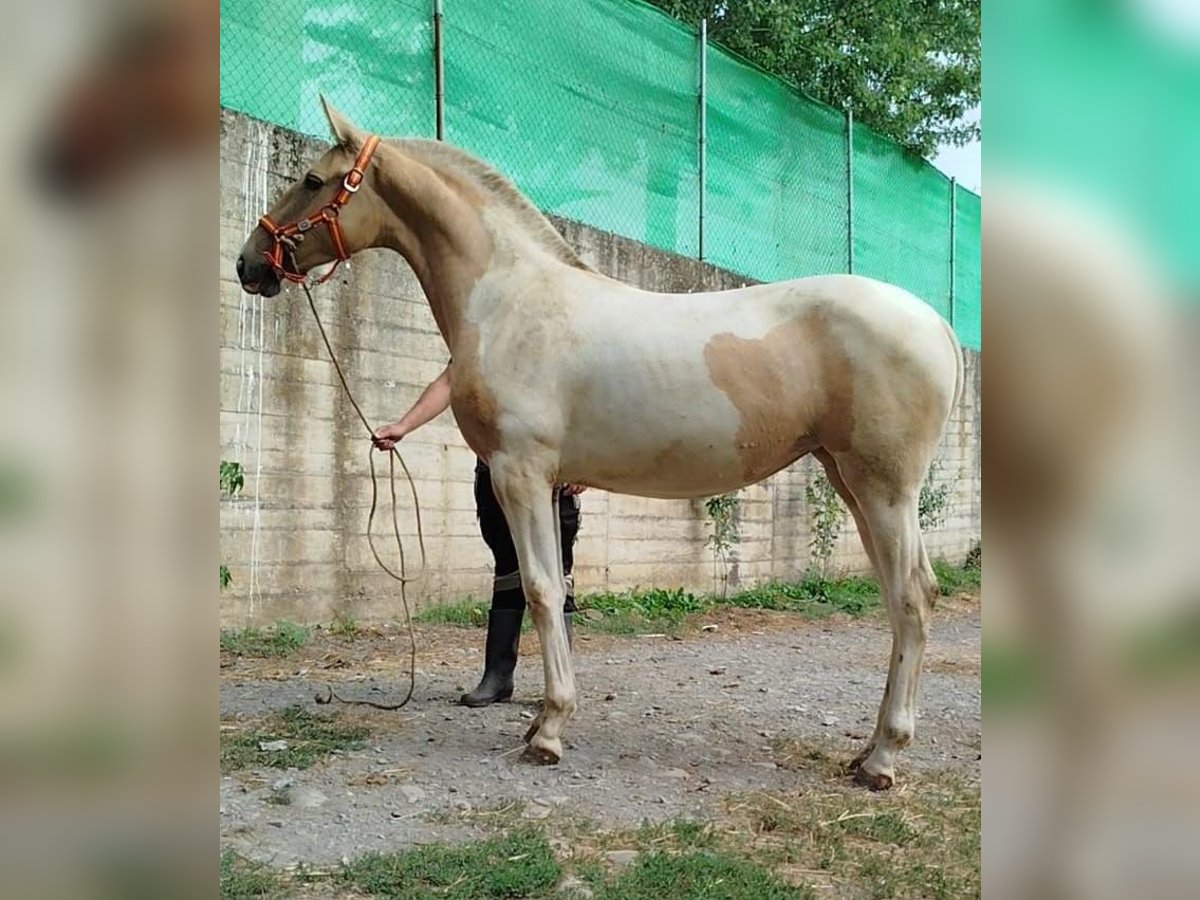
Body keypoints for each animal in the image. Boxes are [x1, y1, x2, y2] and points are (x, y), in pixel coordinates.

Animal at [236, 98, 964, 790]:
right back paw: (867, 749)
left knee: (913, 597)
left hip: (884, 488)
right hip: (852, 483)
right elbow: (548, 592)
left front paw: (549, 732)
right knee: (899, 599)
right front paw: (541, 721)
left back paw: (883, 759)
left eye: (312, 180)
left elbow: (538, 589)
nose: (249, 264)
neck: (509, 299)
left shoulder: (519, 473)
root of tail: (938, 326)